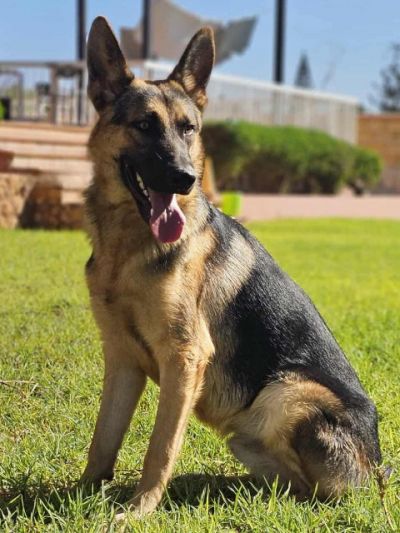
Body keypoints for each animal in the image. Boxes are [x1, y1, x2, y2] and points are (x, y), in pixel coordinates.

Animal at [81, 16, 381, 517]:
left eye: (188, 129)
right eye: (144, 125)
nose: (185, 178)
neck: (129, 246)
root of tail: (378, 471)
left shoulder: (186, 357)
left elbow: (160, 446)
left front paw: (140, 509)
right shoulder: (121, 358)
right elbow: (103, 438)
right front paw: (84, 492)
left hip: (286, 393)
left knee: (309, 492)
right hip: (254, 425)